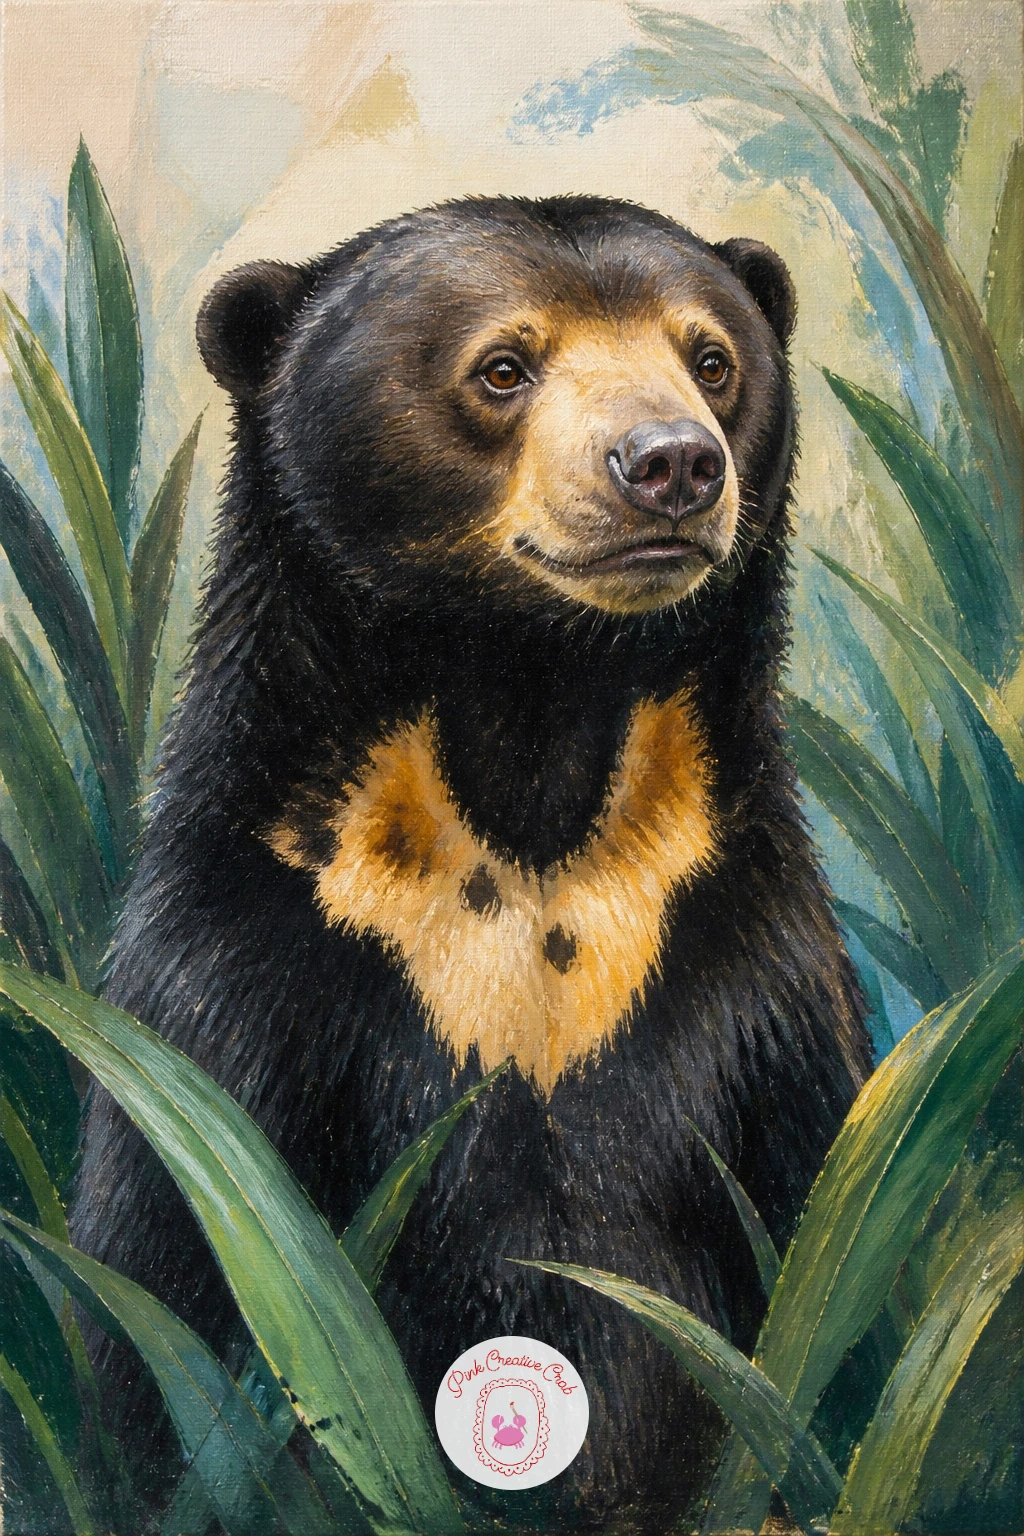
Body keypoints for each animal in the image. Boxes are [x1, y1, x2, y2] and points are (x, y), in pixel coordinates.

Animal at [72, 195, 871, 1532]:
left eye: (710, 358)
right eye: (503, 366)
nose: (672, 463)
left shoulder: (745, 950)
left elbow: (830, 1228)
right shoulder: (243, 964)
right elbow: (161, 1281)